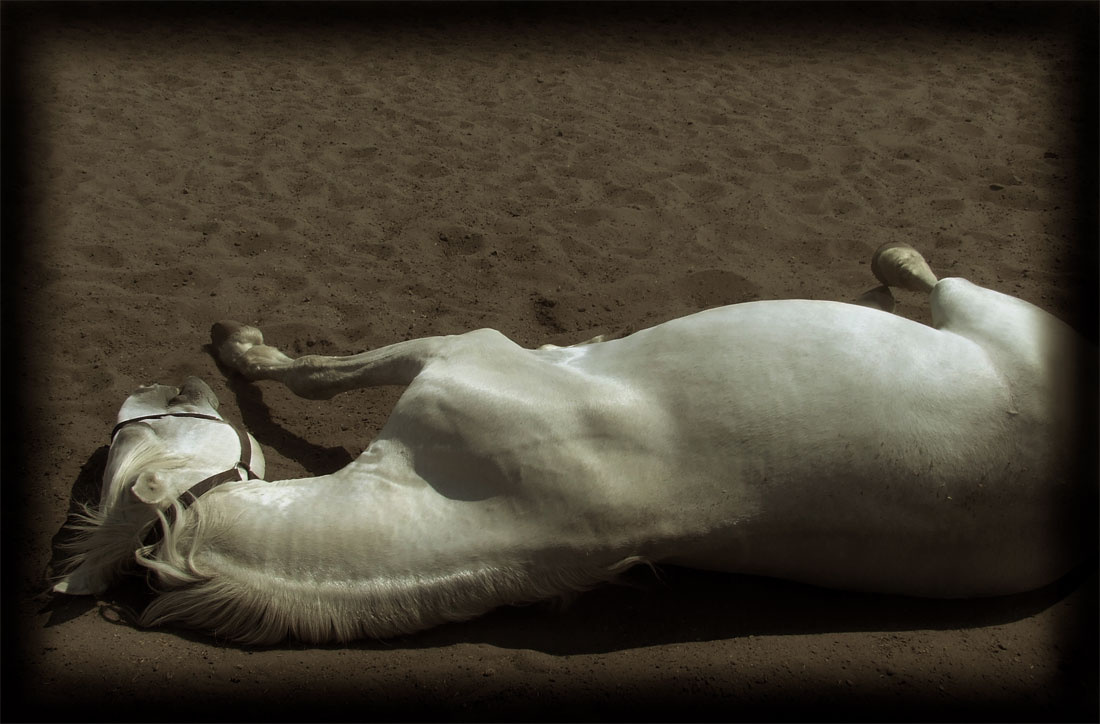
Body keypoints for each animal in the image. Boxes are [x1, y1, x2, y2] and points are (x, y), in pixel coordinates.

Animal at [52, 243, 1095, 645]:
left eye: (132, 432)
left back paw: (889, 261)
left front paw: (240, 345)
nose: (161, 386)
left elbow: (316, 376)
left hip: (986, 311)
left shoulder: (462, 351)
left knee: (935, 276)